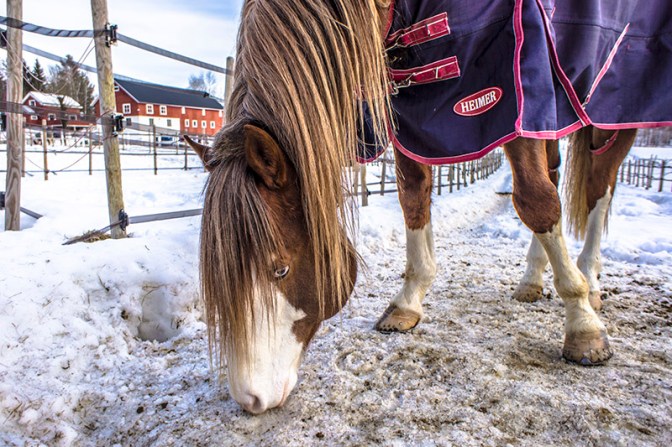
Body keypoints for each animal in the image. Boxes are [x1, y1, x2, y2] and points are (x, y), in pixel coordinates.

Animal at [185, 0, 669, 414]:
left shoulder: (511, 92)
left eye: (280, 269)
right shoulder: (412, 112)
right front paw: (409, 301)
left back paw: (589, 279)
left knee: (598, 186)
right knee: (554, 175)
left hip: (609, 110)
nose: (250, 399)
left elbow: (535, 201)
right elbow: (413, 197)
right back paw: (533, 279)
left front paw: (582, 326)